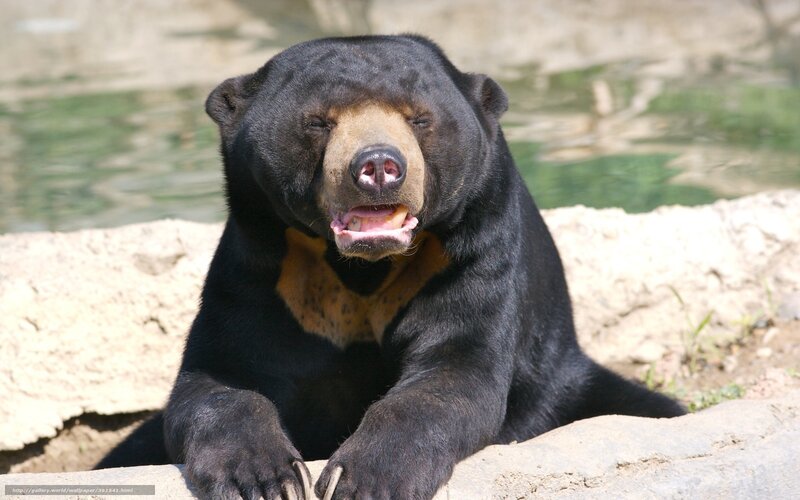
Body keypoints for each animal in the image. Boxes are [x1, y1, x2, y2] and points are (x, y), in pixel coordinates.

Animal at [97, 35, 684, 499]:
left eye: (420, 118)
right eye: (318, 122)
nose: (379, 166)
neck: (362, 267)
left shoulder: (470, 255)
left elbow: (452, 372)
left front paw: (362, 479)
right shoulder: (262, 269)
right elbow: (219, 378)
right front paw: (264, 479)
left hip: (563, 381)